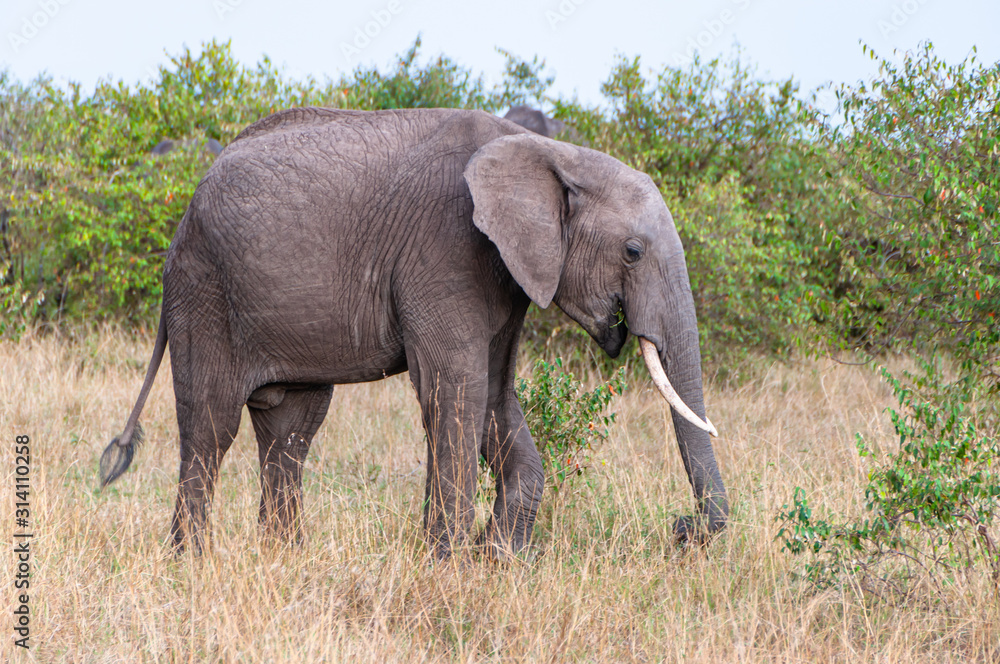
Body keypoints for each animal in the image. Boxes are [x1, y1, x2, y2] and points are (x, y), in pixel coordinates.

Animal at [101, 106, 728, 556]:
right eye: (633, 251)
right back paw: (192, 564)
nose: (681, 526)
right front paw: (446, 564)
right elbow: (455, 389)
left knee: (291, 433)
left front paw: (497, 559)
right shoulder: (444, 248)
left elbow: (493, 394)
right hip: (202, 288)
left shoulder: (506, 273)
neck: (547, 151)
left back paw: (284, 560)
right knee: (210, 428)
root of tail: (185, 213)